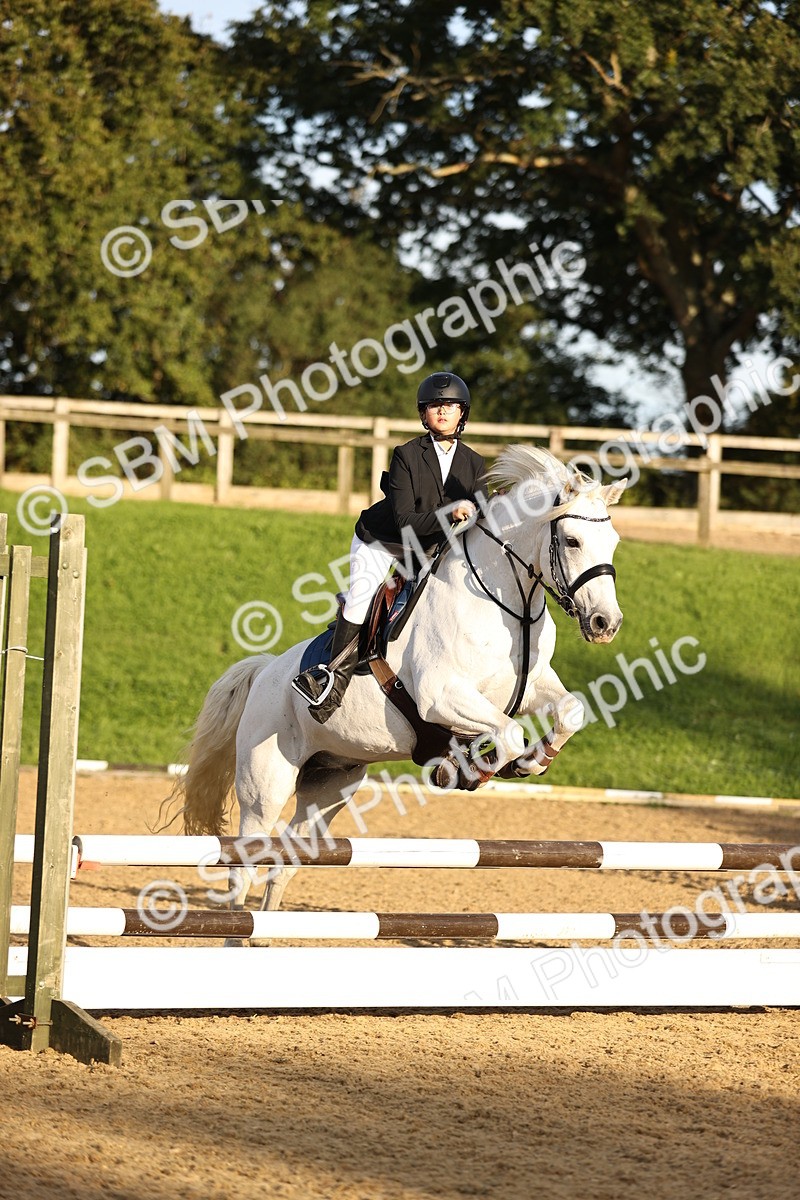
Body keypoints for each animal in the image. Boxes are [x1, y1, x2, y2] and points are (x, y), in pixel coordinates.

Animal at [170, 445, 626, 916]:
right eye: (571, 541)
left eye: (613, 542)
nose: (605, 623)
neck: (508, 603)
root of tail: (265, 671)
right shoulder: (440, 697)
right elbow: (510, 733)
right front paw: (471, 769)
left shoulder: (530, 686)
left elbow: (570, 712)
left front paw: (534, 761)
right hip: (265, 784)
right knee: (245, 862)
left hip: (331, 784)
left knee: (286, 860)